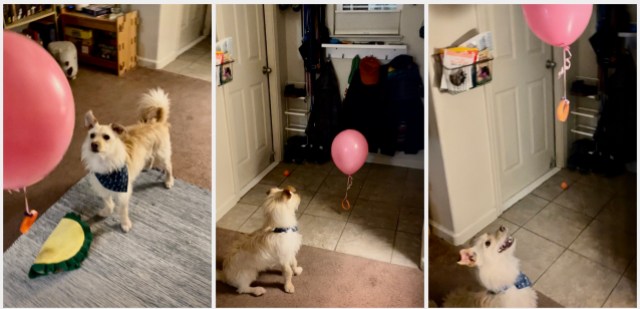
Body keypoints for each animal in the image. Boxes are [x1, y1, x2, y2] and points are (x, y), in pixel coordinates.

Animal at [80, 86, 175, 231]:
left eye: (106, 137)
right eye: (92, 135)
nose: (94, 144)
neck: (104, 160)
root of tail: (158, 122)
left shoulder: (123, 193)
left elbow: (122, 210)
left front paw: (125, 223)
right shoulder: (102, 187)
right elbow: (108, 203)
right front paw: (106, 211)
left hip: (162, 154)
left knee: (168, 166)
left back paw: (169, 180)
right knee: (151, 157)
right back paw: (147, 166)